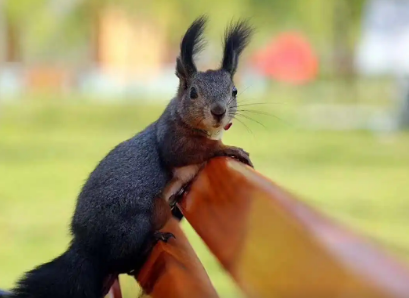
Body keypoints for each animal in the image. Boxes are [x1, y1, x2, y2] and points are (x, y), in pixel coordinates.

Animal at [3, 15, 252, 298]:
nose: (218, 112)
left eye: (234, 91)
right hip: (135, 221)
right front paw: (231, 149)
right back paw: (149, 244)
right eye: (193, 93)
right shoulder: (170, 139)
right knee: (122, 260)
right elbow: (192, 150)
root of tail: (85, 247)